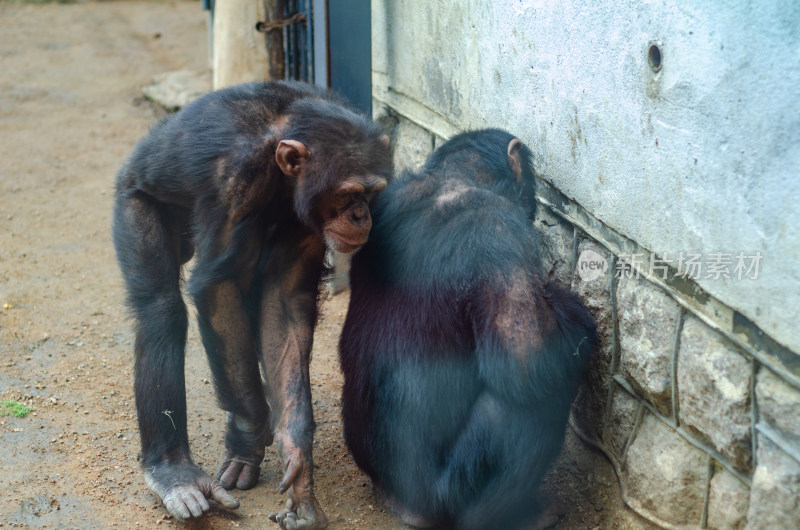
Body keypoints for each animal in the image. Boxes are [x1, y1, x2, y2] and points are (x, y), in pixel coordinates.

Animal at [111, 80, 390, 524]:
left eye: (371, 193)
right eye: (348, 193)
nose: (362, 215)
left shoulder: (308, 219)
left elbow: (284, 301)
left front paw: (298, 461)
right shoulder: (236, 179)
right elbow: (219, 287)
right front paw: (248, 435)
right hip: (134, 198)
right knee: (160, 310)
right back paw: (175, 473)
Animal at [336, 129, 592, 528]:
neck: (452, 181)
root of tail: (405, 502)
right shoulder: (500, 228)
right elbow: (526, 361)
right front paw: (573, 312)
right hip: (452, 493)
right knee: (528, 399)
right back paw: (524, 515)